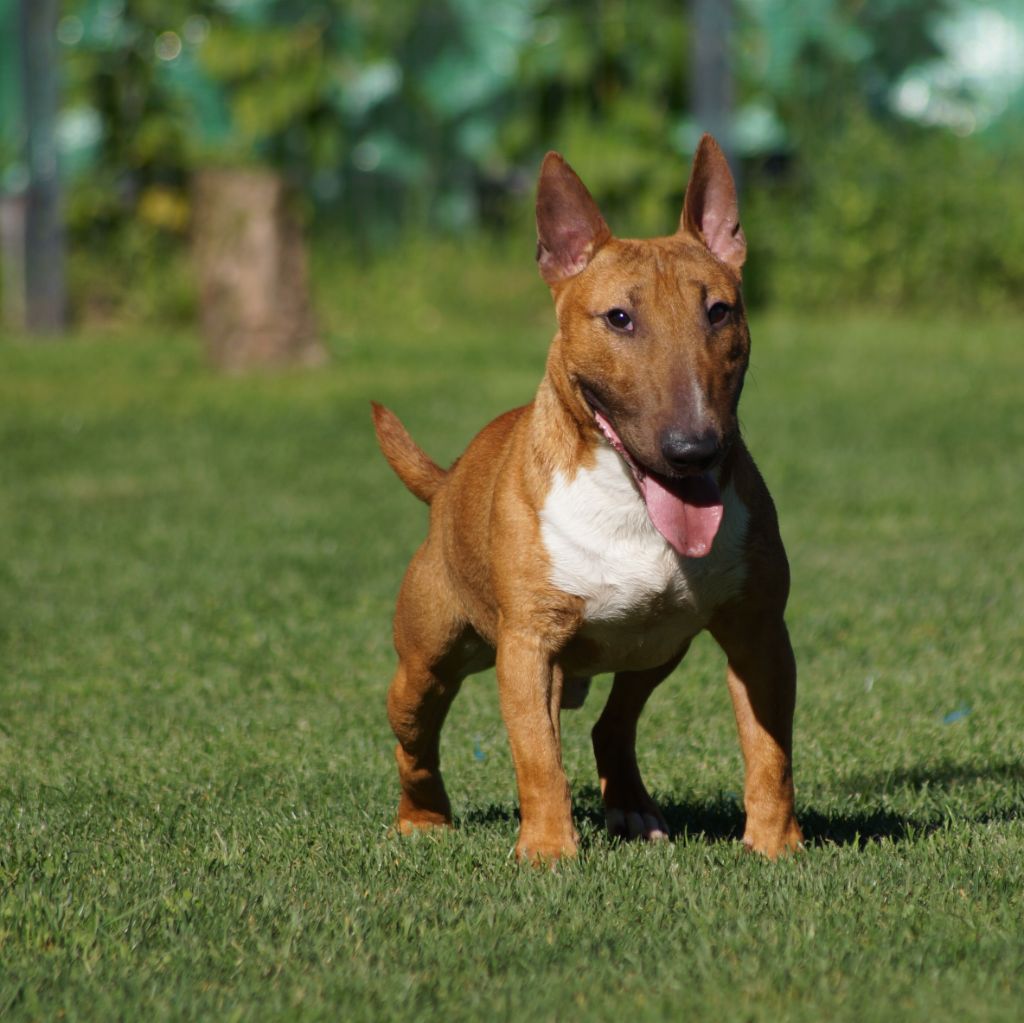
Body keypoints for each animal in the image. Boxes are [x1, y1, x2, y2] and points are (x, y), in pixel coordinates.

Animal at [372, 132, 802, 860]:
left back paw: (631, 809)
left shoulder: (759, 632)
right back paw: (423, 818)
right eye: (619, 318)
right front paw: (548, 851)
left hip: (657, 648)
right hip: (428, 656)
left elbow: (771, 749)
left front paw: (776, 845)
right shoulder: (529, 645)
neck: (631, 501)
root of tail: (448, 483)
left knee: (613, 722)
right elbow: (538, 756)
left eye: (719, 310)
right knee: (414, 733)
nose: (693, 449)